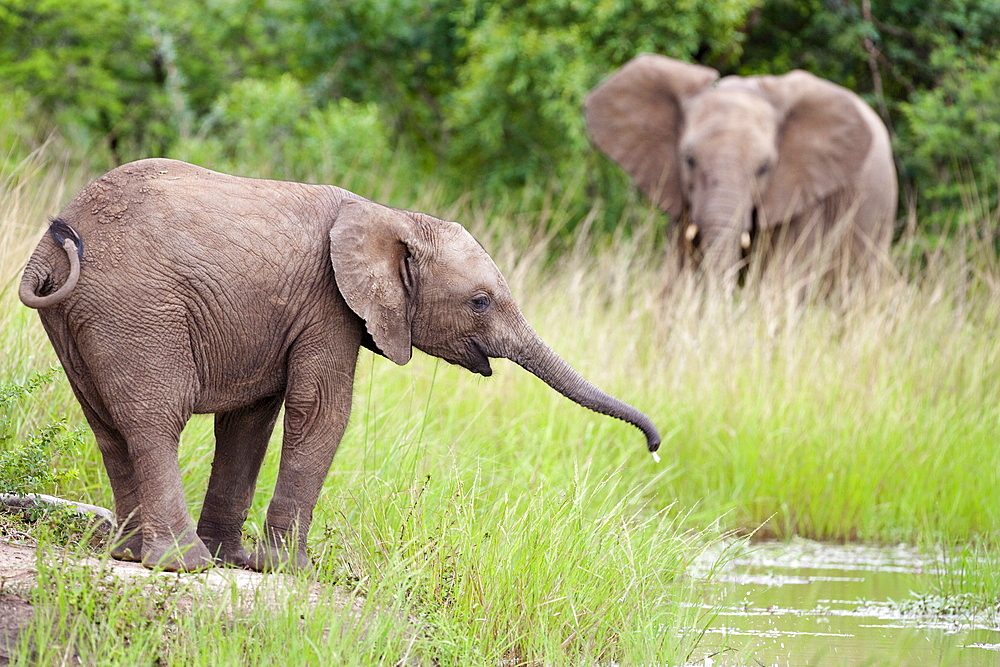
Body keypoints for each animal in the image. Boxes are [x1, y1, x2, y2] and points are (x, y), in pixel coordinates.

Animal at [19, 160, 660, 576]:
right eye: (480, 302)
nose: (654, 447)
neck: (391, 216)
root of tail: (55, 240)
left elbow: (251, 422)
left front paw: (243, 562)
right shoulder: (328, 305)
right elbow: (321, 410)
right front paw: (290, 570)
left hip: (82, 320)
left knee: (108, 426)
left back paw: (132, 555)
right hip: (137, 310)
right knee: (154, 421)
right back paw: (183, 566)